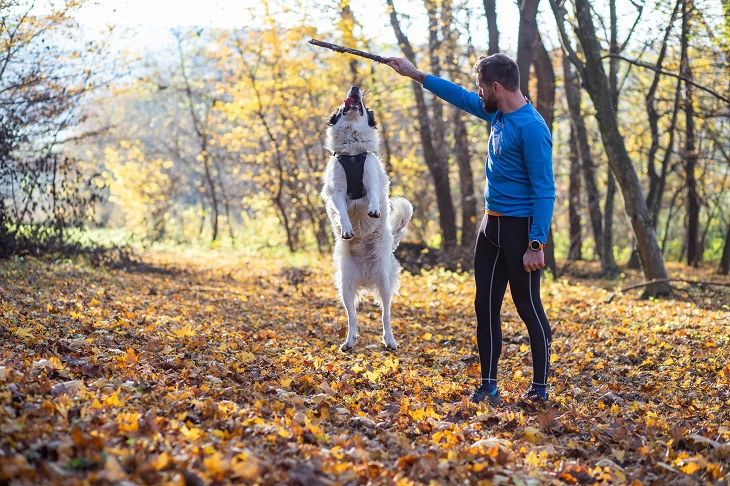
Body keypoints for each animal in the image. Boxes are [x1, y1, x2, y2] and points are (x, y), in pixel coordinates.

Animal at [322, 87, 412, 352]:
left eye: (364, 106)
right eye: (340, 106)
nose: (354, 87)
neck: (352, 155)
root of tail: (365, 275)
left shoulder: (371, 177)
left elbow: (372, 193)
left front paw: (372, 209)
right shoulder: (337, 190)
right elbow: (342, 210)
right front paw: (347, 228)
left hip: (384, 282)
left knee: (386, 315)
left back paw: (390, 340)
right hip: (345, 285)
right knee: (352, 316)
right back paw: (349, 340)